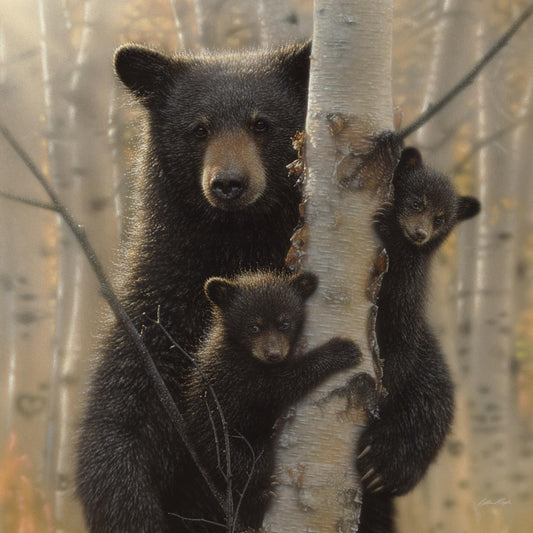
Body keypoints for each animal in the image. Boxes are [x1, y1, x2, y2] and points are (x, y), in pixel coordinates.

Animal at [75, 42, 312, 532]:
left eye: (262, 124)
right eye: (198, 129)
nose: (229, 183)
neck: (235, 245)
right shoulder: (159, 311)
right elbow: (119, 423)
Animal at [172, 272, 360, 528]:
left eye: (285, 323)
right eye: (253, 326)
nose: (273, 354)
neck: (241, 350)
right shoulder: (238, 374)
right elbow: (280, 385)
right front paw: (341, 350)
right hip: (224, 445)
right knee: (250, 467)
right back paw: (258, 496)